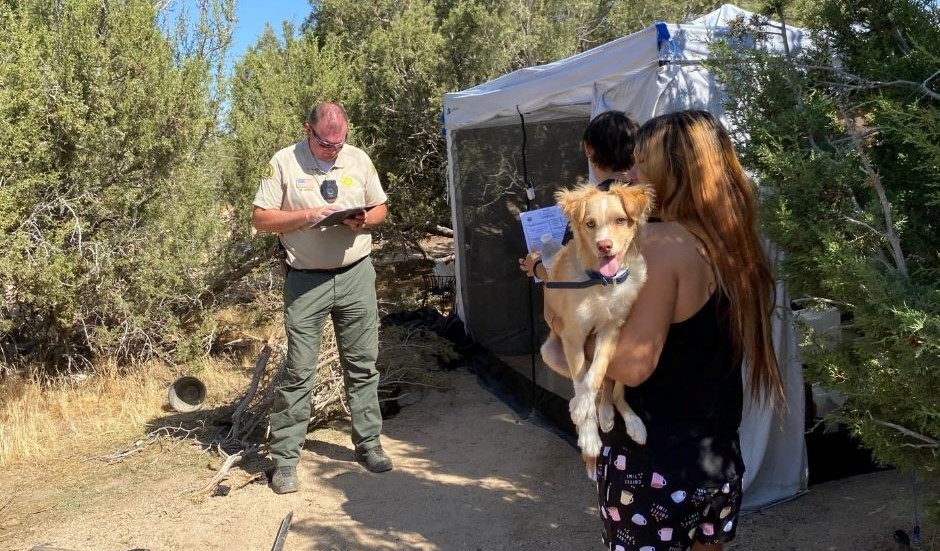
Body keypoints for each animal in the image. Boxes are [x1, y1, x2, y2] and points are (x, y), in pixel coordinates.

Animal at [540, 183, 648, 480]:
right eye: (590, 223)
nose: (604, 245)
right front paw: (588, 435)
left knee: (614, 387)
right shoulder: (573, 335)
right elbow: (583, 380)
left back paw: (625, 419)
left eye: (620, 220)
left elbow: (596, 373)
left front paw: (589, 410)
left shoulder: (612, 329)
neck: (603, 283)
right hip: (549, 352)